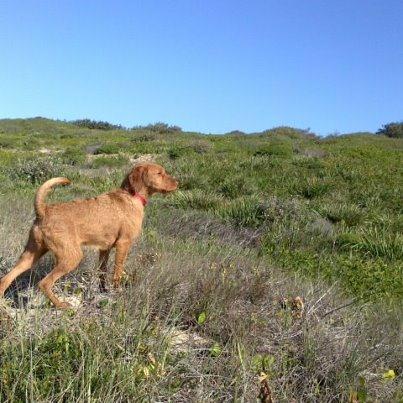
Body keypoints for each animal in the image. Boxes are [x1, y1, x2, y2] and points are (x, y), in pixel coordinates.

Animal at [0, 163, 178, 308]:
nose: (178, 183)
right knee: (44, 283)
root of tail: (44, 211)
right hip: (71, 257)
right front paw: (117, 292)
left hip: (31, 255)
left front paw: (103, 290)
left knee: (6, 279)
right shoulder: (123, 244)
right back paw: (61, 305)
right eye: (160, 173)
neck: (131, 195)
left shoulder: (105, 249)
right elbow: (118, 272)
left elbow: (102, 272)